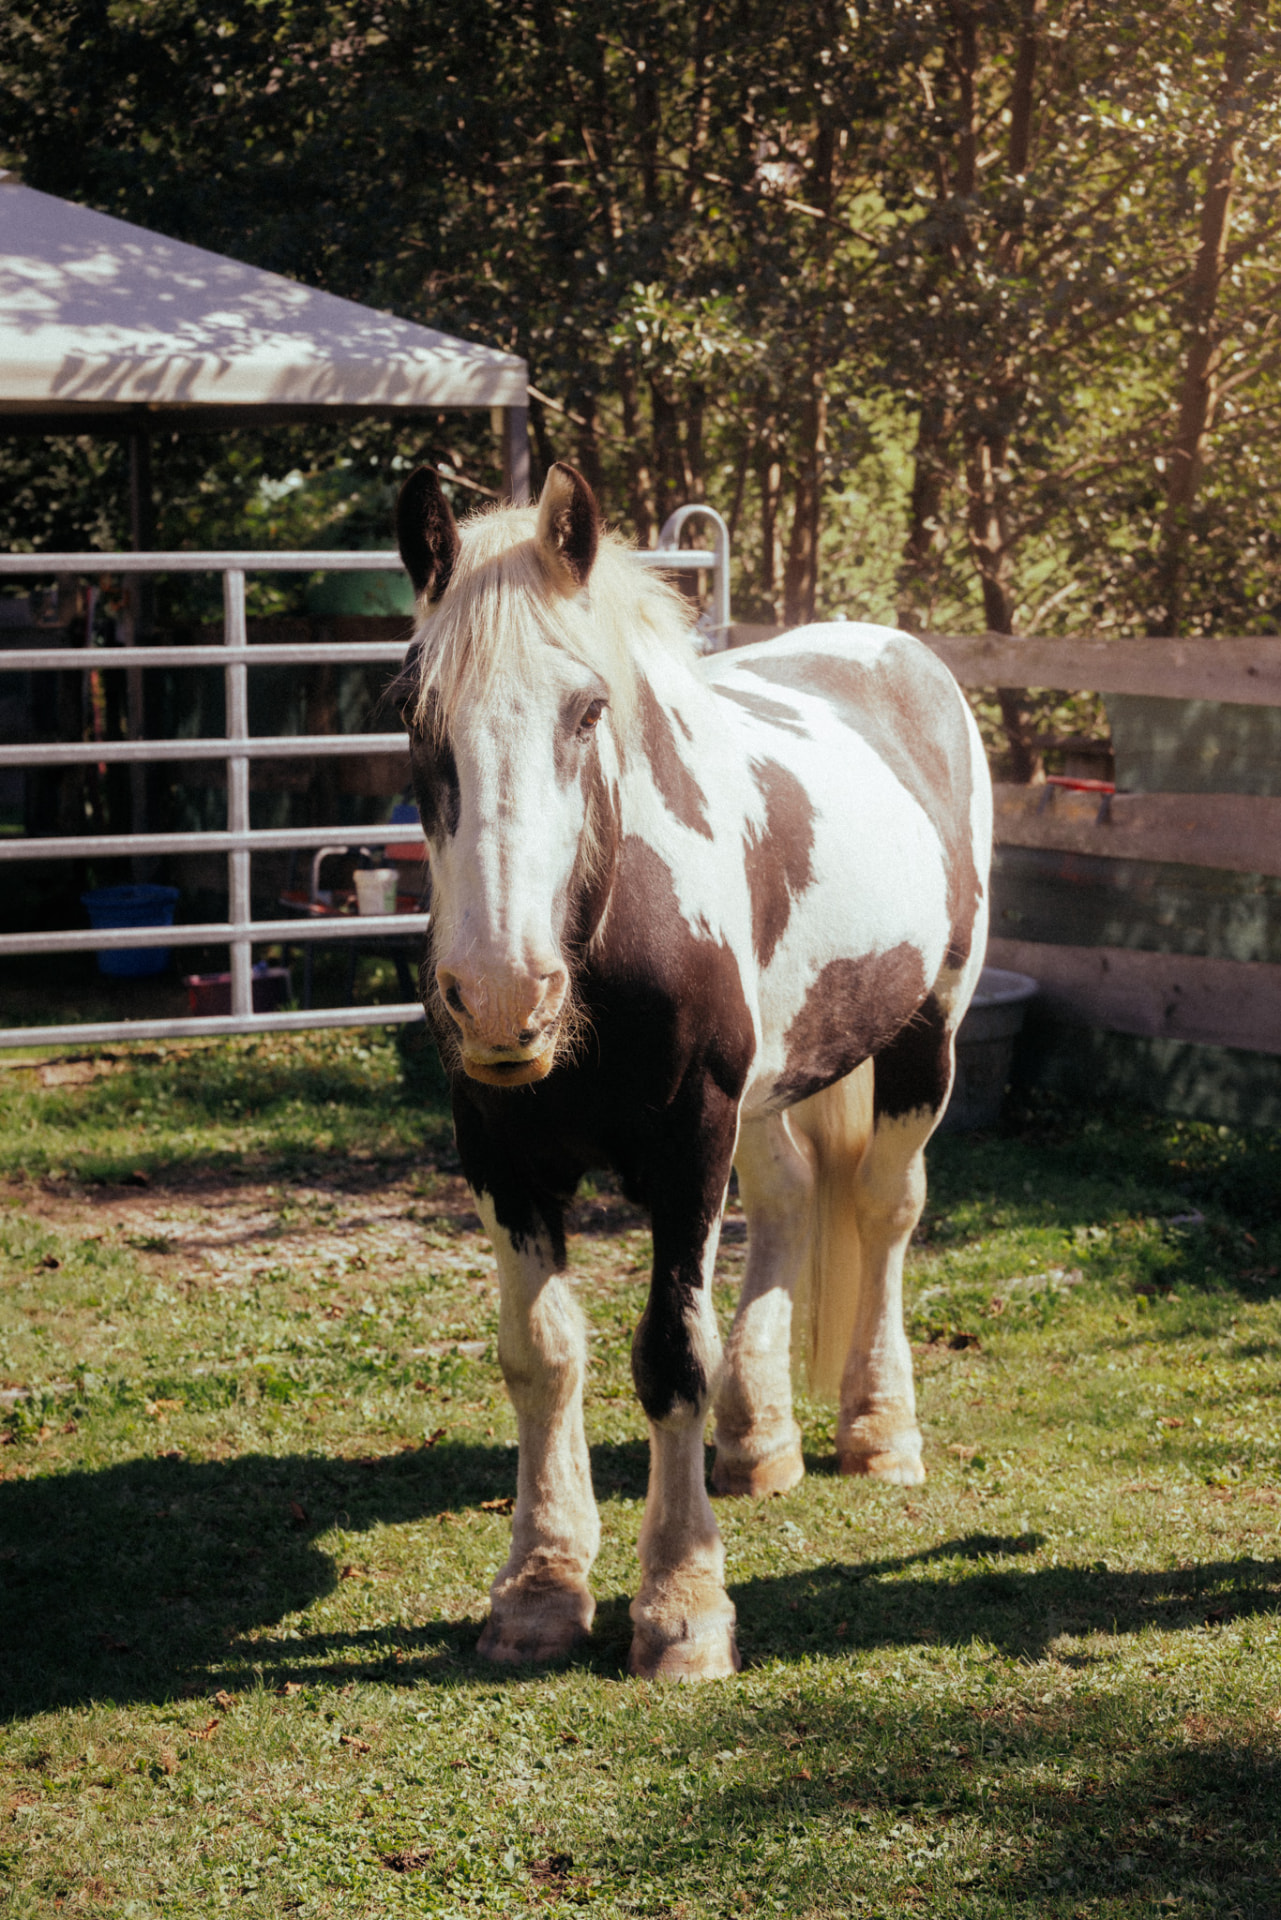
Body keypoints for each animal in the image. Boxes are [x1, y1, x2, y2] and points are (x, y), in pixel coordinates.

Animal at [392, 461, 992, 1681]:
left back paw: (878, 1427)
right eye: (411, 714)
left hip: (924, 1041)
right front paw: (539, 1588)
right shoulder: (503, 1153)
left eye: (587, 710)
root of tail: (892, 652)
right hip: (770, 1090)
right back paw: (759, 1439)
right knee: (792, 1202)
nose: (502, 992)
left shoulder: (686, 1146)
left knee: (885, 1208)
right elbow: (540, 1355)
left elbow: (671, 1355)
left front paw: (680, 1607)